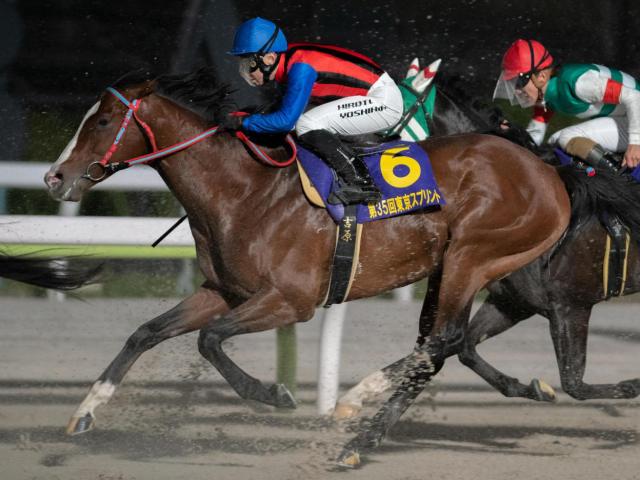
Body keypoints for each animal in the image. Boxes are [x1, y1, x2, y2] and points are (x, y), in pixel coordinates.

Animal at [42, 66, 570, 465]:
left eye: (103, 121)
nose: (54, 177)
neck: (243, 192)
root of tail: (545, 171)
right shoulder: (223, 291)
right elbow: (146, 332)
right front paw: (85, 411)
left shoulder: (290, 301)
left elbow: (209, 339)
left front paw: (273, 394)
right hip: (448, 267)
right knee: (440, 344)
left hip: (473, 255)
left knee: (443, 340)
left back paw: (355, 407)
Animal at [334, 70, 640, 423]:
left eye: (388, 113)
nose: (348, 156)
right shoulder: (513, 302)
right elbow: (462, 347)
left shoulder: (570, 305)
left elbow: (573, 382)